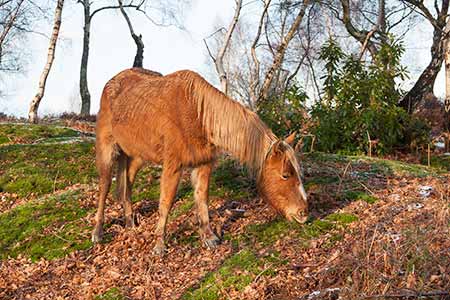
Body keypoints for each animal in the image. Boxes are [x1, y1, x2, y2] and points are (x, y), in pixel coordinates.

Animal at [92, 68, 308, 255]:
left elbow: (202, 198)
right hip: (107, 150)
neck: (198, 113)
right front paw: (160, 244)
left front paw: (208, 237)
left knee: (127, 184)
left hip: (137, 156)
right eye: (285, 175)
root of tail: (112, 83)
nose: (303, 213)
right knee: (104, 188)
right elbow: (166, 203)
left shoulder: (204, 165)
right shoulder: (173, 167)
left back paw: (130, 224)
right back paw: (98, 232)